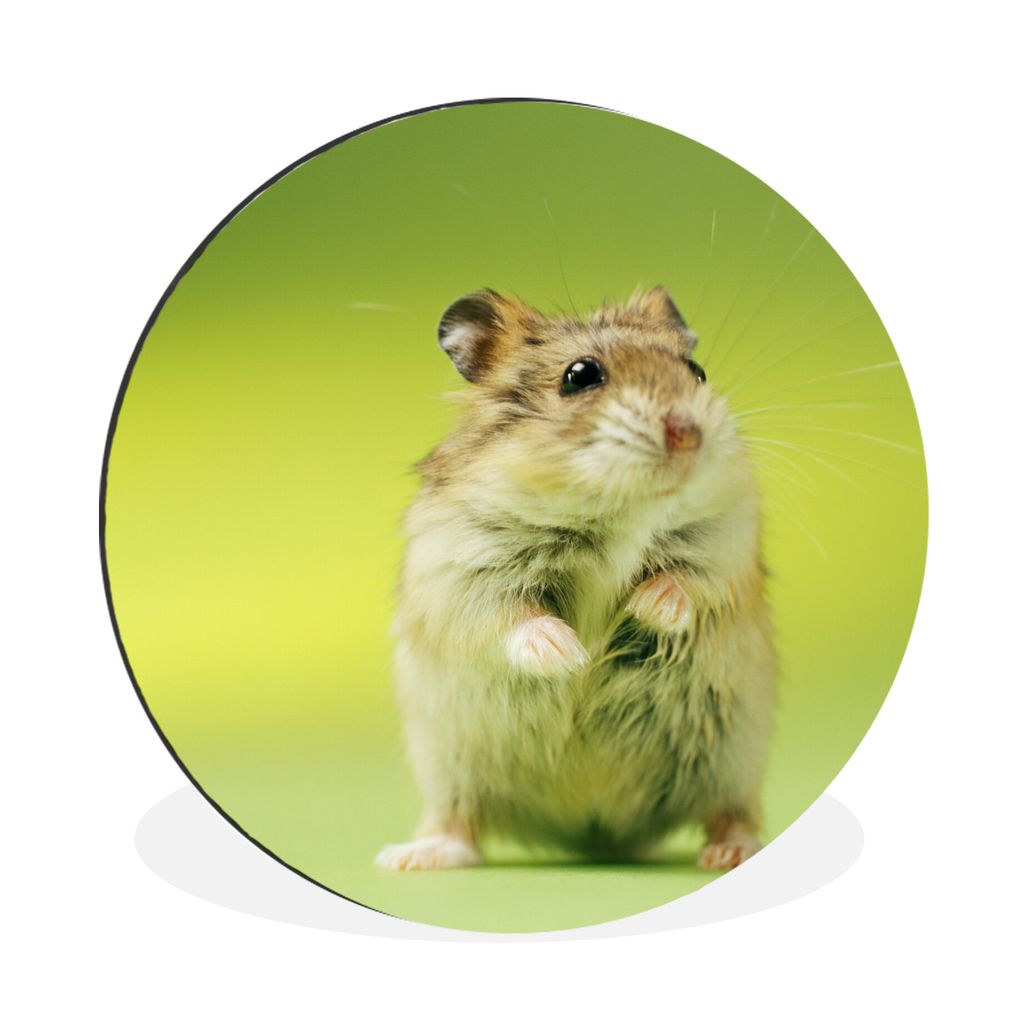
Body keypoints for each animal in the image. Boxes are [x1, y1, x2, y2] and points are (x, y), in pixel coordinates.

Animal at [376, 287, 776, 872]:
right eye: (581, 375)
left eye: (697, 372)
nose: (689, 435)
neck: (616, 511)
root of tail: (596, 831)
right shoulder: (462, 569)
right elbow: (510, 617)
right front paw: (571, 655)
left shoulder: (726, 539)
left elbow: (688, 580)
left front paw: (644, 607)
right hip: (449, 763)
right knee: (458, 823)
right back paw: (410, 859)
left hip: (733, 758)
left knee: (731, 813)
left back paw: (730, 852)